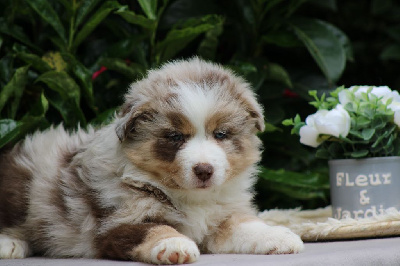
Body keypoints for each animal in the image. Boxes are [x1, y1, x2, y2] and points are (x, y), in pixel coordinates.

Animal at [0, 58, 302, 264]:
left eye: (221, 134)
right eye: (175, 137)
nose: (204, 170)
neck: (188, 198)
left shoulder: (221, 216)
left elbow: (245, 225)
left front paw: (279, 236)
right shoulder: (114, 223)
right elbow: (154, 228)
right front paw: (175, 245)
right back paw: (9, 244)